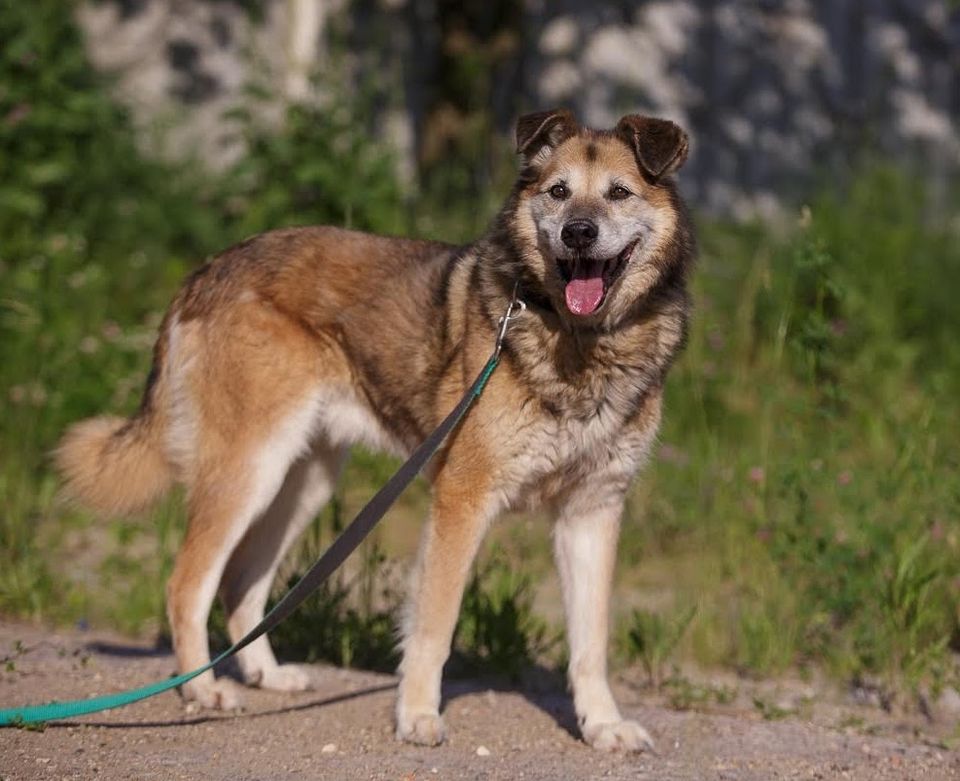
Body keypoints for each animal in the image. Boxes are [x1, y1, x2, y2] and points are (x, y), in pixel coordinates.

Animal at [56, 109, 692, 748]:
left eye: (618, 193)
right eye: (558, 192)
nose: (579, 233)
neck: (580, 343)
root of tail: (208, 269)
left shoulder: (592, 510)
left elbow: (591, 643)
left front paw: (602, 725)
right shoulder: (463, 501)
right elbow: (434, 626)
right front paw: (417, 714)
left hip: (303, 481)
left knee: (241, 585)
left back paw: (265, 674)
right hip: (249, 468)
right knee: (187, 584)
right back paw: (202, 689)